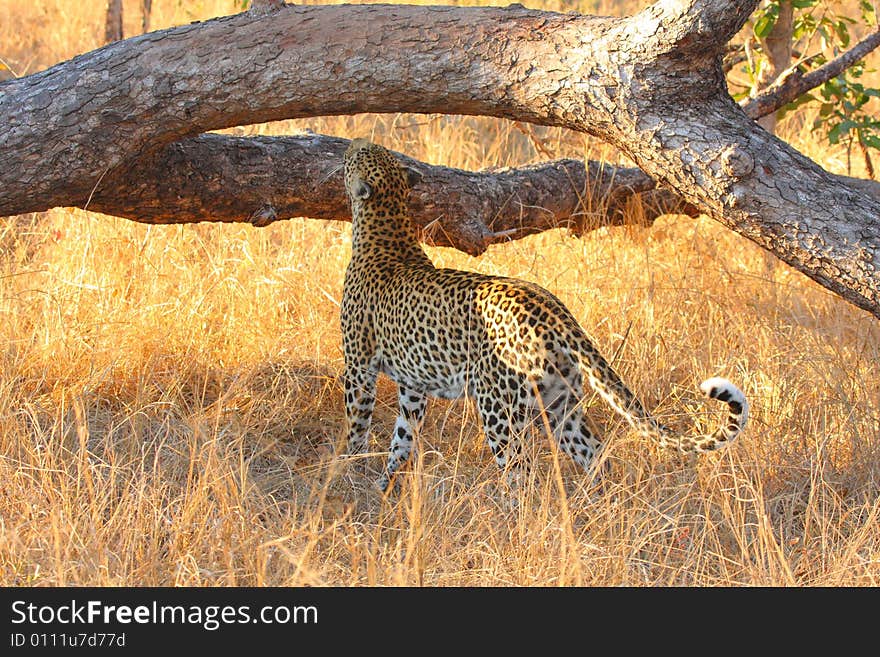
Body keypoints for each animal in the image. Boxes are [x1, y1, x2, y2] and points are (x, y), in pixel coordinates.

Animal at [340, 137, 744, 492]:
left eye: (358, 154)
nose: (352, 142)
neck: (388, 224)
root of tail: (554, 312)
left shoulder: (358, 366)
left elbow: (357, 424)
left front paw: (346, 472)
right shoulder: (413, 386)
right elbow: (402, 439)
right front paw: (384, 484)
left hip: (500, 408)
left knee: (520, 474)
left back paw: (509, 516)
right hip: (558, 403)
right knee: (596, 455)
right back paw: (594, 508)